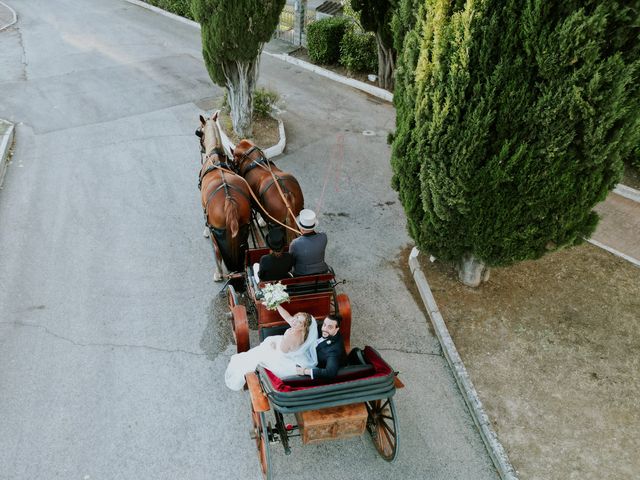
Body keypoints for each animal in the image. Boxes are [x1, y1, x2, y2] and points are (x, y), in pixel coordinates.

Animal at [196, 111, 251, 282]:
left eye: (199, 131)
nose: (201, 148)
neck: (215, 156)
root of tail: (229, 200)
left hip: (219, 233)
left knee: (218, 252)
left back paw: (220, 273)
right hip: (243, 229)